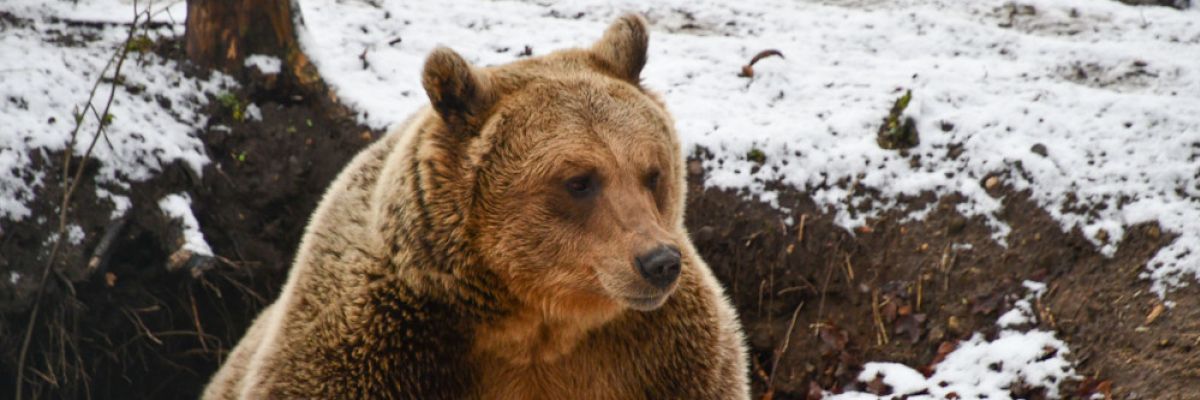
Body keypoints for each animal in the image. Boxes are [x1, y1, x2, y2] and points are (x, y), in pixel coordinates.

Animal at [202, 14, 749, 399]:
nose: (659, 262)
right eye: (579, 181)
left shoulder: (663, 357)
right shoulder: (368, 347)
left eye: (652, 173)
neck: (534, 323)